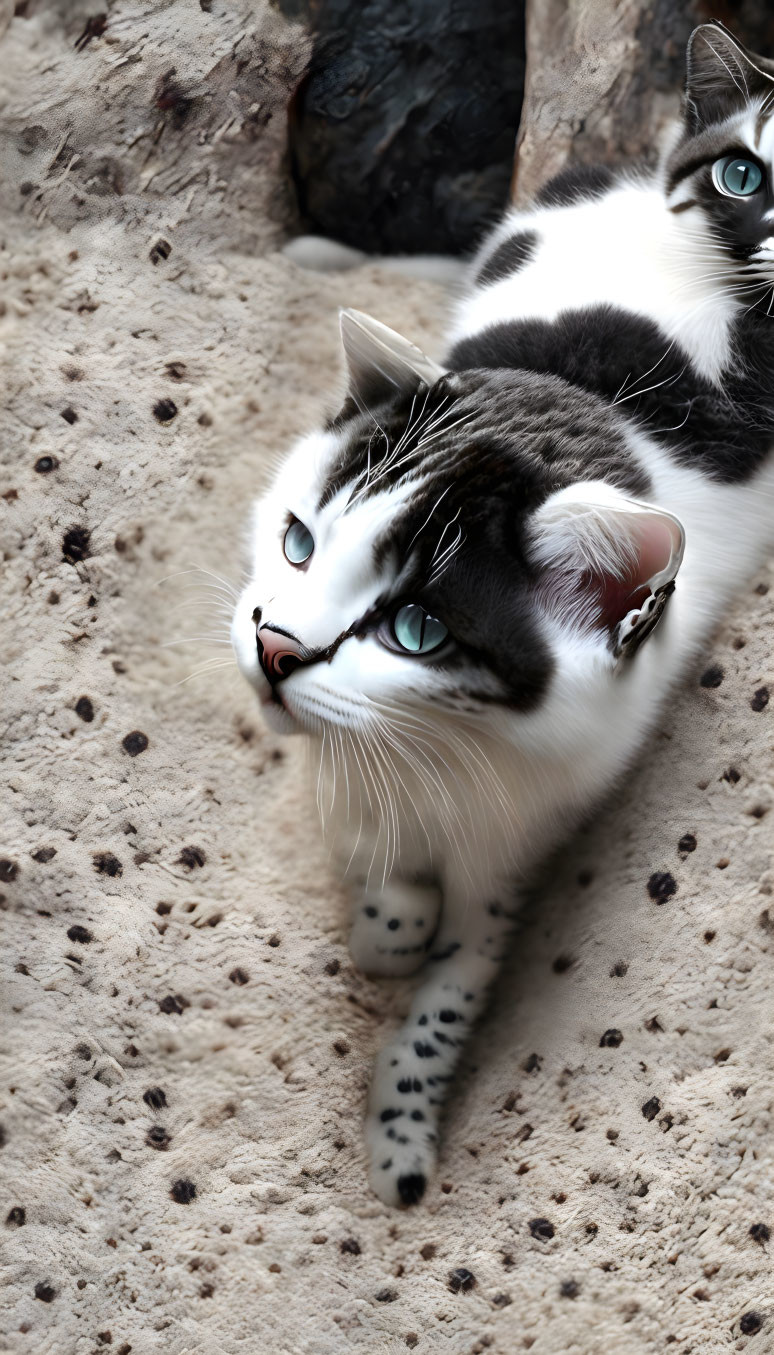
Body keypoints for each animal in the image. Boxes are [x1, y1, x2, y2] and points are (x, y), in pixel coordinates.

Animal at [233, 23, 774, 1208]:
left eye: (416, 632)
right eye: (298, 543)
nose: (274, 646)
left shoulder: (531, 826)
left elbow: (453, 988)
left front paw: (402, 1128)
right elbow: (372, 843)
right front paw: (387, 920)